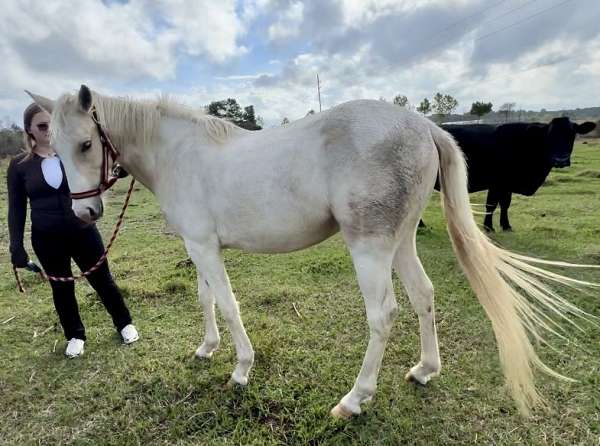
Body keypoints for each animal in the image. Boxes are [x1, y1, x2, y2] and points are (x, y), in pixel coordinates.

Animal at [426, 116, 596, 232]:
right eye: (549, 136)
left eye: (572, 135)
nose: (561, 160)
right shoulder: (496, 183)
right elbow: (491, 204)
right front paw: (489, 227)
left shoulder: (507, 185)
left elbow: (505, 204)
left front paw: (506, 225)